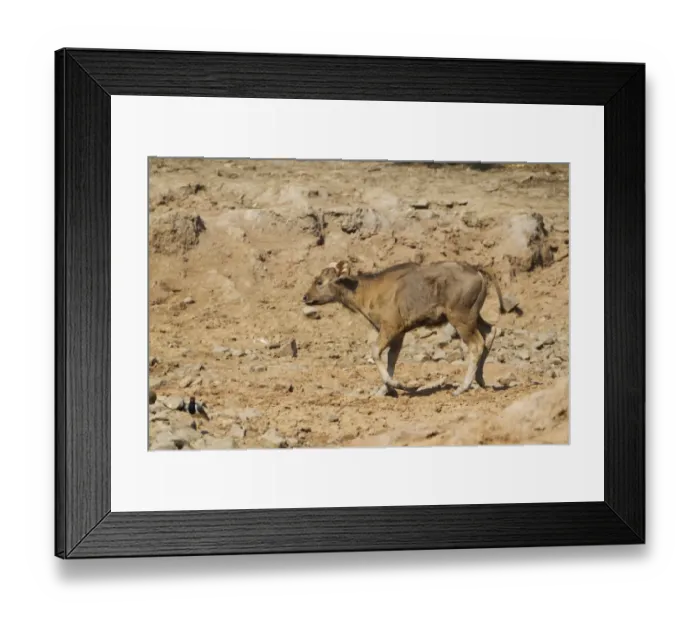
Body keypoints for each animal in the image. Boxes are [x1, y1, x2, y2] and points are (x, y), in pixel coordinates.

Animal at [302, 260, 518, 396]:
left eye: (319, 281)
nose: (305, 297)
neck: (368, 291)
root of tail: (477, 271)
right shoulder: (399, 334)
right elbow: (391, 359)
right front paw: (384, 390)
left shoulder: (391, 328)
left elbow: (375, 352)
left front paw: (396, 385)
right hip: (473, 316)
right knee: (491, 331)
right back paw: (480, 380)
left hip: (461, 318)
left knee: (476, 344)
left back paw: (462, 387)